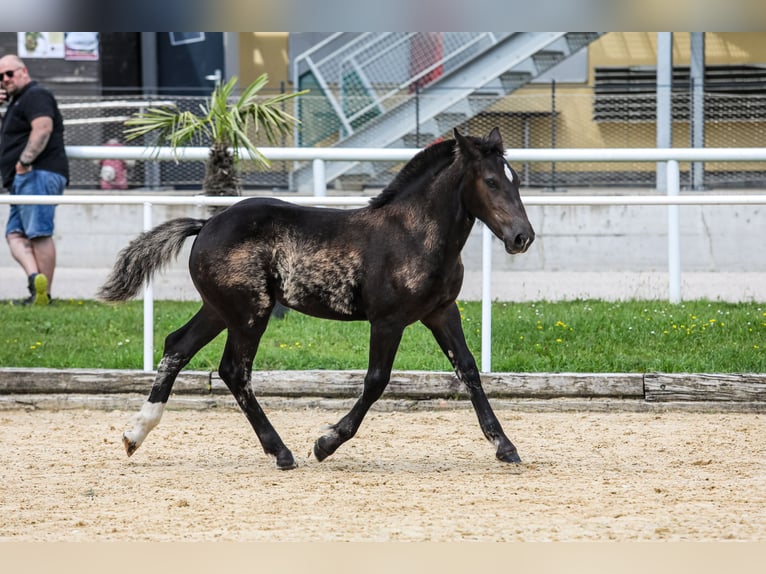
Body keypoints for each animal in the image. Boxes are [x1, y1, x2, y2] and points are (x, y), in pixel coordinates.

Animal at [99, 128, 536, 470]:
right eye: (490, 181)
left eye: (514, 180)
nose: (522, 237)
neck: (413, 234)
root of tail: (206, 224)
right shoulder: (388, 321)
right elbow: (376, 381)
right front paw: (325, 443)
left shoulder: (441, 312)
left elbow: (469, 370)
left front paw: (505, 446)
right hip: (249, 314)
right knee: (233, 370)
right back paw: (281, 452)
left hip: (220, 310)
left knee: (177, 346)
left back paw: (135, 434)